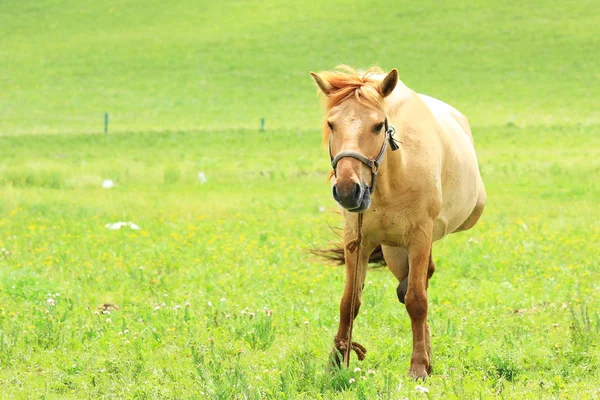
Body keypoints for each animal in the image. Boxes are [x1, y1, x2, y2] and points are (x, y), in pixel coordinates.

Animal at [312, 65, 486, 378]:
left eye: (378, 125)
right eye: (331, 124)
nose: (347, 190)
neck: (389, 181)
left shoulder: (419, 236)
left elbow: (417, 301)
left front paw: (417, 367)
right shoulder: (357, 240)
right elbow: (349, 301)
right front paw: (335, 363)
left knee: (418, 286)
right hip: (394, 250)